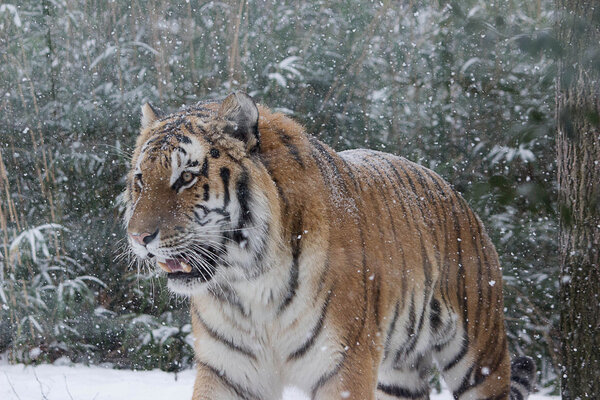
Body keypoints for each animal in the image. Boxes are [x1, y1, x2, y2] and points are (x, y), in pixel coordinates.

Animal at [124, 92, 536, 398]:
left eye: (187, 177)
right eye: (141, 180)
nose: (138, 238)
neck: (249, 283)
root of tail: (458, 197)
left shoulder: (344, 365)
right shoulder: (227, 372)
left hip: (481, 356)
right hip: (397, 376)